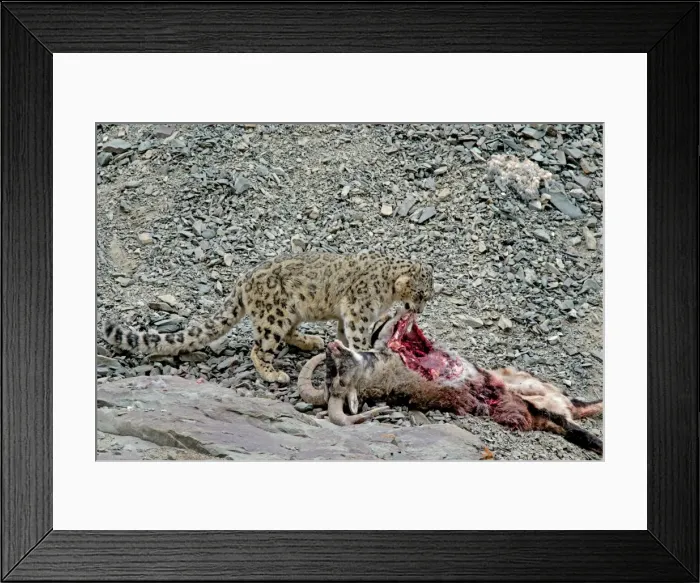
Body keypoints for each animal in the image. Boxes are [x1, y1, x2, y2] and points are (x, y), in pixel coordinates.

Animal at [102, 250, 434, 386]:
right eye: (420, 294)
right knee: (258, 347)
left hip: (290, 312)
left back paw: (311, 341)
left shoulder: (349, 314)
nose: (418, 310)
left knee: (287, 334)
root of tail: (243, 279)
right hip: (274, 315)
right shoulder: (358, 310)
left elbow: (343, 335)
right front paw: (366, 353)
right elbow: (358, 336)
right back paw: (273, 373)